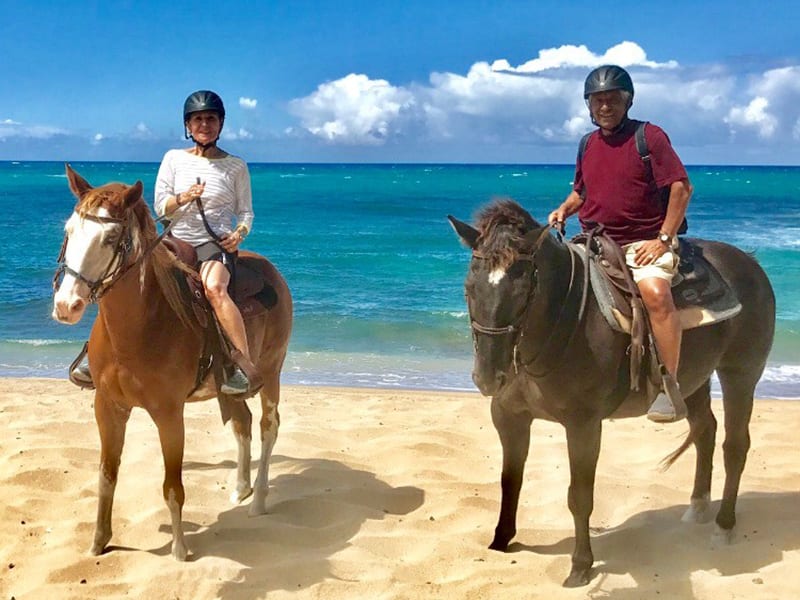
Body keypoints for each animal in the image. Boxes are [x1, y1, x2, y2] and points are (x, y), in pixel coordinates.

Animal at [52, 163, 294, 556]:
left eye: (111, 238)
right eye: (69, 231)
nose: (66, 306)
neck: (138, 328)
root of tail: (269, 269)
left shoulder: (168, 413)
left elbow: (172, 487)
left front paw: (180, 550)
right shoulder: (107, 406)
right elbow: (106, 476)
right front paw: (98, 542)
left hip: (272, 372)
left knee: (267, 428)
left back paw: (258, 500)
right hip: (227, 387)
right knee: (242, 423)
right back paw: (240, 488)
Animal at [446, 200, 772, 584]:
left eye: (524, 290)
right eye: (470, 286)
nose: (488, 376)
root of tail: (749, 262)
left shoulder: (583, 424)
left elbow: (579, 496)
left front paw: (580, 565)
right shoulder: (508, 417)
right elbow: (510, 480)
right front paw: (501, 540)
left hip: (740, 374)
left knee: (735, 446)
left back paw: (723, 526)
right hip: (694, 378)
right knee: (705, 430)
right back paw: (697, 508)